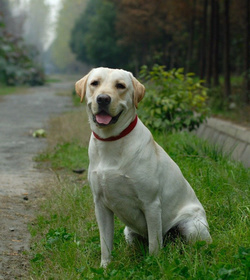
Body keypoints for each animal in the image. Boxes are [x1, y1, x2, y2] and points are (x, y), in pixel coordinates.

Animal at [74, 67, 211, 266]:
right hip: (128, 232)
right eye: (94, 83)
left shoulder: (151, 204)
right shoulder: (100, 205)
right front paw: (105, 267)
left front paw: (154, 264)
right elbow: (105, 243)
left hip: (192, 226)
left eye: (120, 86)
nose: (103, 99)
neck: (111, 141)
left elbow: (154, 244)